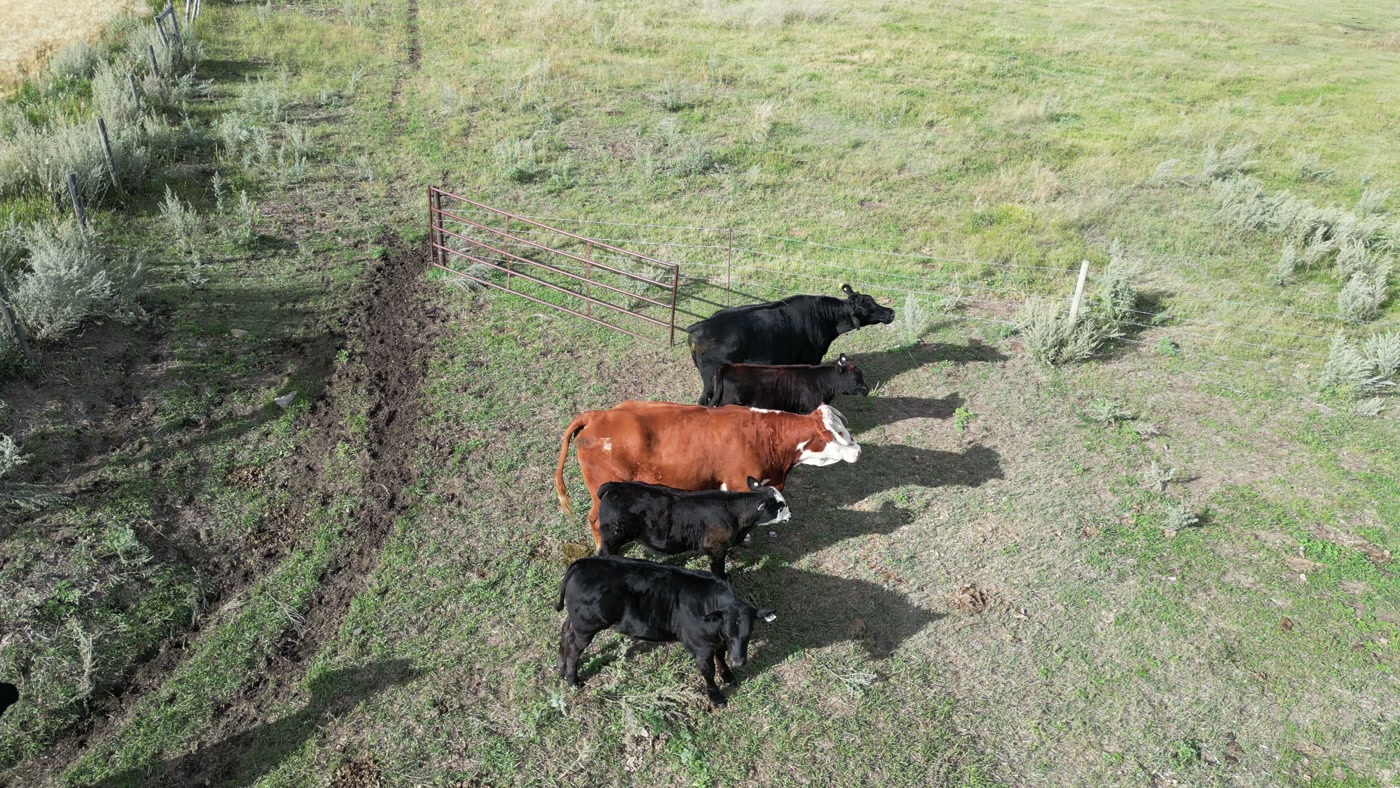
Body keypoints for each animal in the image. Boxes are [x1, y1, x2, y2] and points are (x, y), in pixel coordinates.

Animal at [555, 401, 860, 549]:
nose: (858, 451)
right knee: (594, 520)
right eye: (839, 432)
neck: (764, 436)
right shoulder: (738, 484)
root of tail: (596, 415)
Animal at [555, 555, 777, 706]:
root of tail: (582, 563)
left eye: (748, 633)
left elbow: (721, 656)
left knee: (565, 632)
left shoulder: (718, 642)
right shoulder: (701, 647)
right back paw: (572, 679)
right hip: (586, 626)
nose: (739, 661)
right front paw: (716, 697)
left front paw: (728, 675)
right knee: (574, 648)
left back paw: (560, 668)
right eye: (730, 632)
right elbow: (708, 672)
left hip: (576, 621)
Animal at [596, 478, 791, 578]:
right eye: (780, 506)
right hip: (613, 538)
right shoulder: (716, 549)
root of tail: (616, 485)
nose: (790, 516)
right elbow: (718, 570)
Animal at [686, 284, 895, 405]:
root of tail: (702, 325)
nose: (891, 312)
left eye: (873, 300)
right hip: (711, 380)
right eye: (867, 309)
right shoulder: (811, 357)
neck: (825, 317)